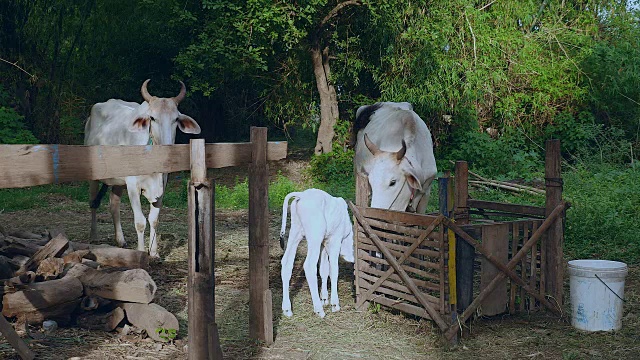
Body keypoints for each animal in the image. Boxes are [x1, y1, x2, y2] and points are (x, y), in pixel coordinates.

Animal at [84, 80, 200, 258]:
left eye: (176, 119)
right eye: (152, 118)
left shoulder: (161, 187)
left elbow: (154, 219)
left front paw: (154, 252)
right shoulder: (133, 186)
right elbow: (140, 222)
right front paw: (141, 251)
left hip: (118, 181)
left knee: (114, 205)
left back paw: (121, 240)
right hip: (94, 175)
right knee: (93, 203)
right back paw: (94, 236)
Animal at [278, 188, 356, 318]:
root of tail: (302, 195)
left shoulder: (323, 244)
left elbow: (324, 270)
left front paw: (324, 298)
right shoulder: (334, 240)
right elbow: (333, 270)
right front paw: (334, 304)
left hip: (296, 233)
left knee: (287, 262)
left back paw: (287, 309)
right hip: (315, 236)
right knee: (309, 265)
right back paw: (319, 309)